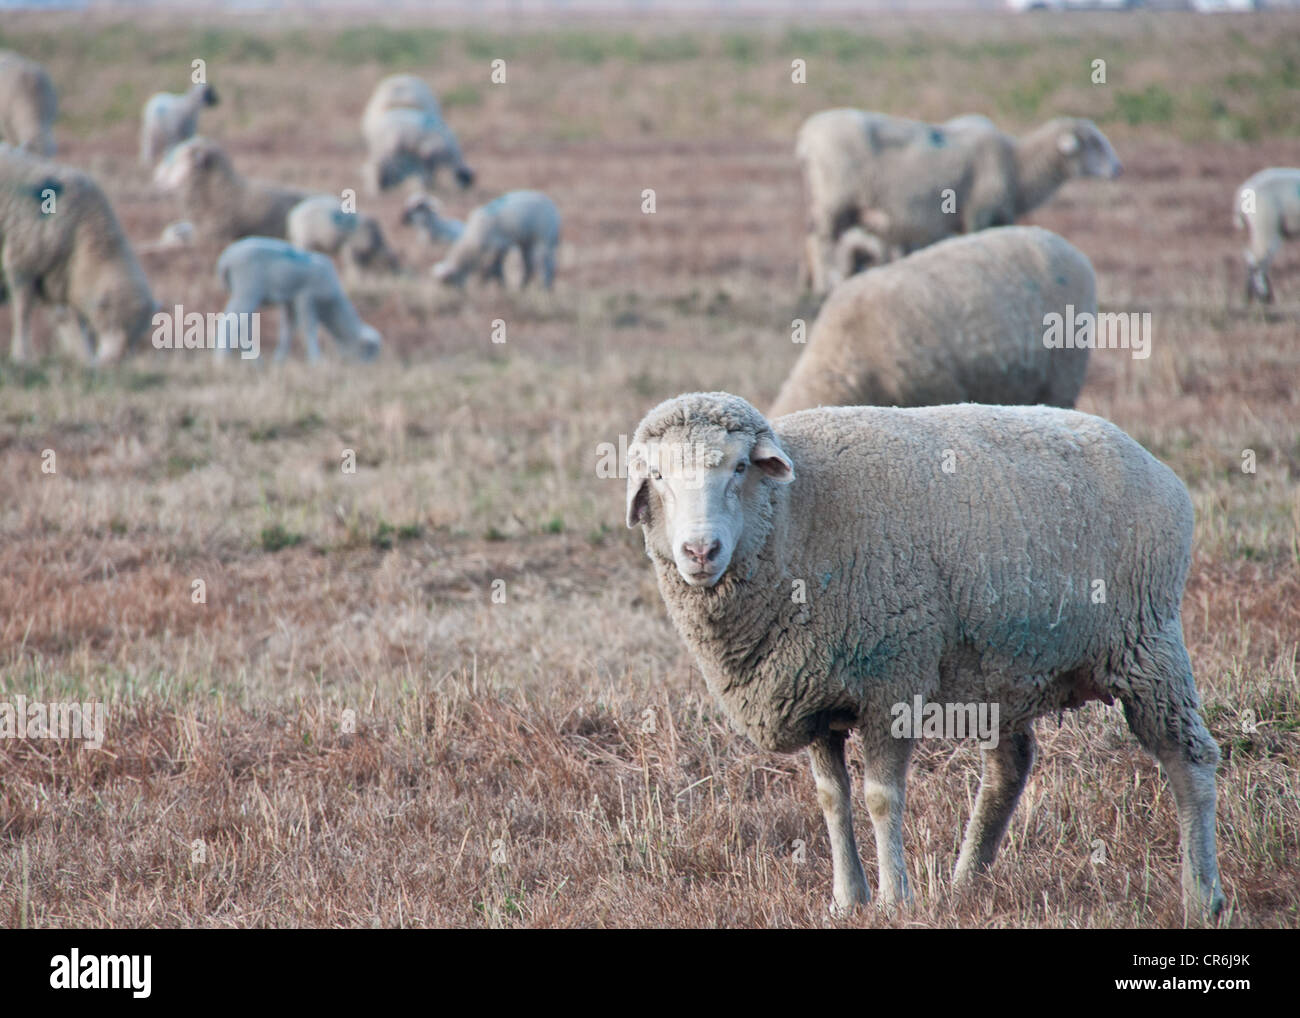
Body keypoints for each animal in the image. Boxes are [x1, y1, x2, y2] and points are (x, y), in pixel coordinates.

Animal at [0, 145, 155, 363]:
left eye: (139, 332)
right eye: (112, 321)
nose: (115, 361)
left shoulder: (58, 282)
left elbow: (70, 323)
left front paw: (84, 357)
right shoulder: (20, 264)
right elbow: (23, 311)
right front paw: (21, 355)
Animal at [215, 237, 381, 363]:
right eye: (368, 352)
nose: (370, 369)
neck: (331, 303)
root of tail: (225, 260)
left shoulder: (290, 302)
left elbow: (288, 330)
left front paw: (279, 360)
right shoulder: (305, 297)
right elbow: (309, 328)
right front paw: (316, 360)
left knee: (242, 327)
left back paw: (255, 362)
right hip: (247, 291)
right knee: (229, 322)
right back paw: (221, 360)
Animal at [430, 190, 560, 290]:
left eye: (451, 282)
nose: (461, 294)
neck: (472, 241)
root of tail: (555, 212)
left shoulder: (500, 245)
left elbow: (495, 268)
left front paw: (491, 284)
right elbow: (492, 268)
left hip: (543, 238)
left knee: (546, 264)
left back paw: (545, 288)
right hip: (526, 242)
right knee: (529, 265)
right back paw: (523, 287)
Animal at [626, 391, 1225, 918]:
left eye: (739, 467)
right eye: (657, 476)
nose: (700, 551)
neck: (796, 514)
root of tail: (1155, 464)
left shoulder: (890, 678)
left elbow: (880, 798)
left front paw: (895, 899)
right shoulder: (813, 692)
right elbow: (831, 799)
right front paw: (847, 899)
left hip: (1147, 642)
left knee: (1188, 758)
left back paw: (1202, 895)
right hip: (1004, 670)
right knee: (1008, 769)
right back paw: (965, 883)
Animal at [796, 109, 1122, 294]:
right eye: (1094, 143)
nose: (1118, 168)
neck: (1017, 165)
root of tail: (808, 134)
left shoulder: (999, 217)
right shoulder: (980, 213)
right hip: (835, 200)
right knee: (820, 243)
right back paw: (826, 286)